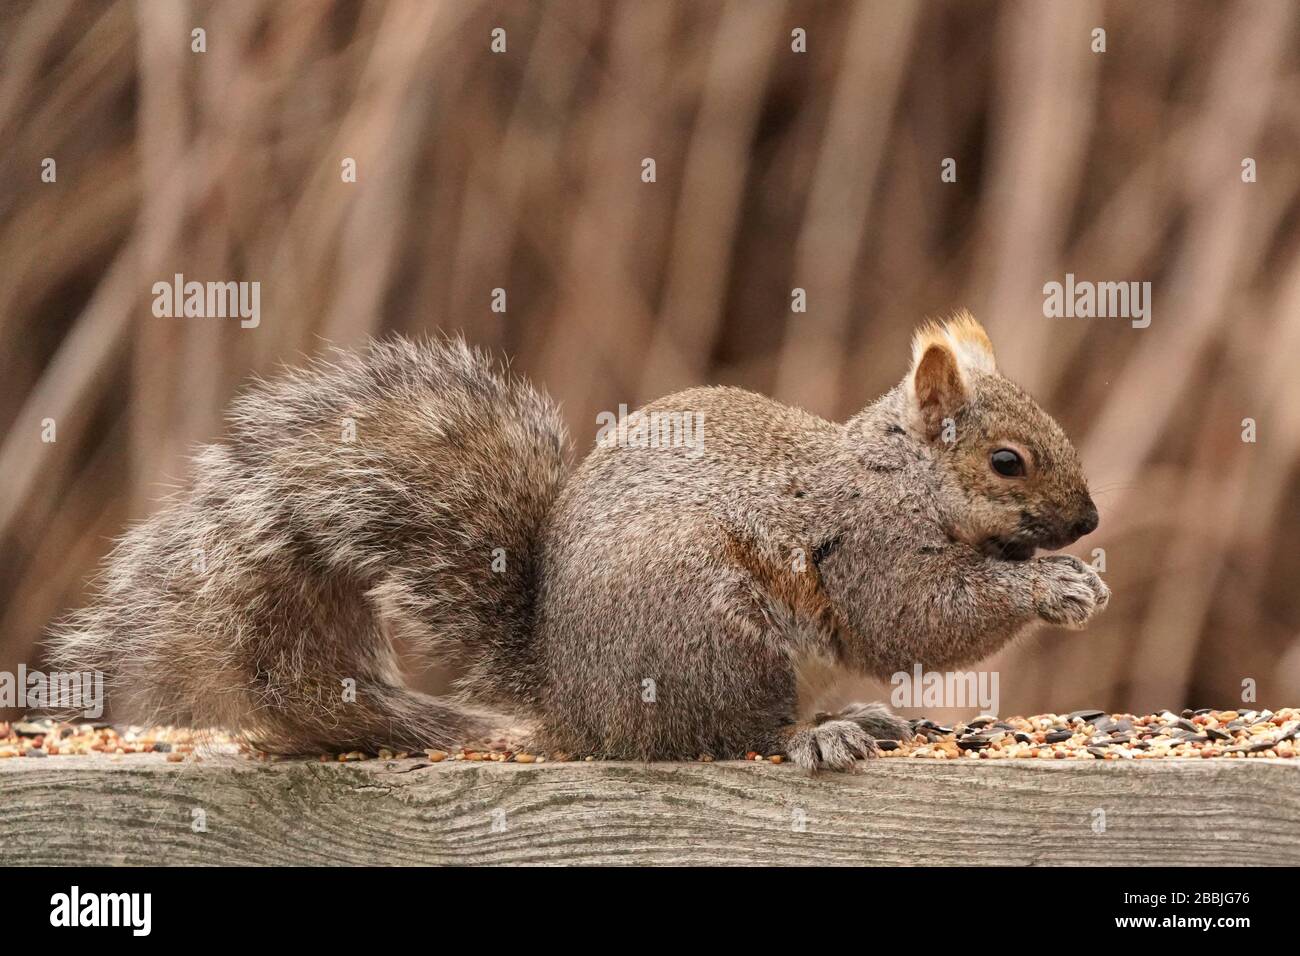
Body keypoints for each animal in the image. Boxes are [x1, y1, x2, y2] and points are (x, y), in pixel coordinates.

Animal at [50, 310, 1107, 775]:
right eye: (1008, 462)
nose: (1091, 523)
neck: (904, 477)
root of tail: (571, 701)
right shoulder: (867, 546)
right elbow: (914, 620)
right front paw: (1053, 588)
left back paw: (862, 718)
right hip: (709, 636)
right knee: (724, 736)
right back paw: (817, 733)